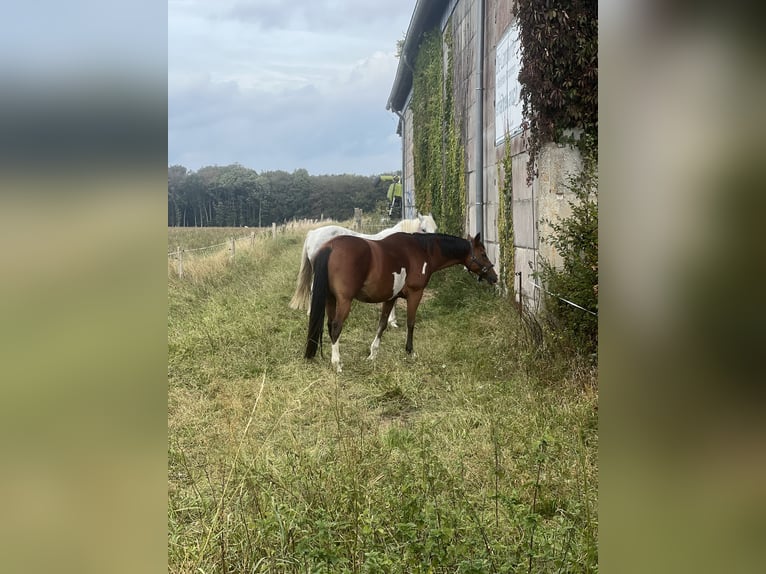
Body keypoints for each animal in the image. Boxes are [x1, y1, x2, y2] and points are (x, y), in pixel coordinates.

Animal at [290, 214, 438, 328]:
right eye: (423, 229)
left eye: (436, 228)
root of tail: (313, 233)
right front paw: (393, 321)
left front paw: (392, 321)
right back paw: (311, 312)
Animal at [304, 234, 498, 374]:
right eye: (483, 254)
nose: (494, 277)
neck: (422, 251)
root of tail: (330, 246)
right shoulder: (415, 294)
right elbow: (411, 323)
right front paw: (410, 352)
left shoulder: (391, 298)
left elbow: (382, 324)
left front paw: (373, 354)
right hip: (344, 301)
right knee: (337, 326)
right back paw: (337, 364)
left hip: (330, 299)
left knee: (330, 325)